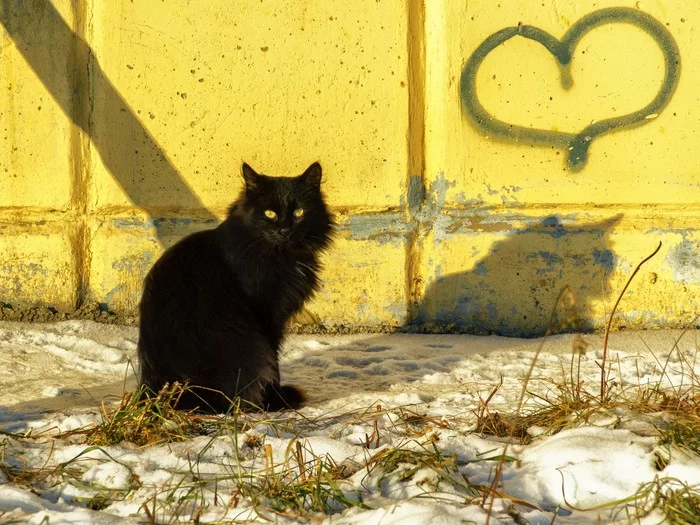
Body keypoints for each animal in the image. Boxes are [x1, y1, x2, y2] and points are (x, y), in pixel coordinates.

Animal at [138, 162, 334, 412]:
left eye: (299, 212)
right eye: (269, 213)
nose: (285, 231)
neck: (284, 256)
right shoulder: (266, 314)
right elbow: (274, 360)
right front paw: (274, 399)